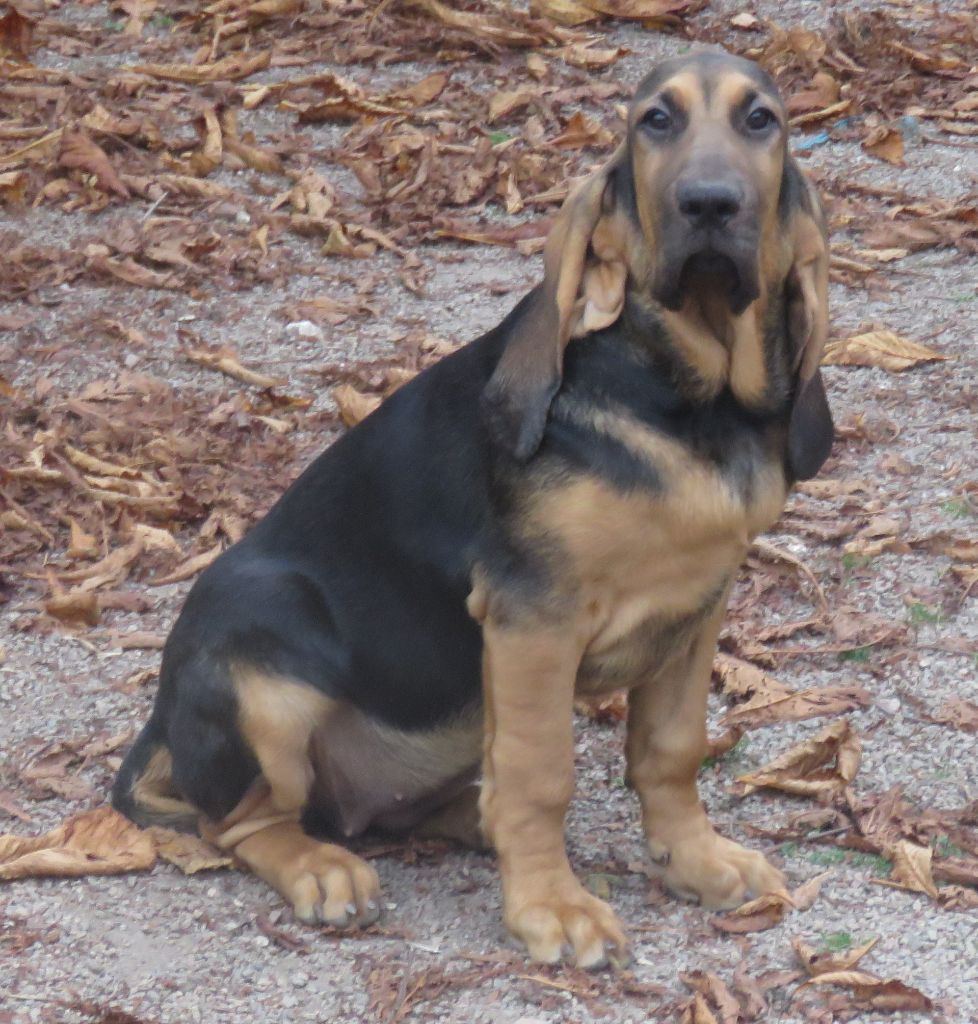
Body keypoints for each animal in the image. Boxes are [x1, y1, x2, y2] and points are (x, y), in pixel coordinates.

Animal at [116, 51, 835, 966]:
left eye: (761, 121)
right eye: (656, 122)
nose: (710, 203)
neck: (691, 402)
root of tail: (163, 716)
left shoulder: (697, 610)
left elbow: (671, 751)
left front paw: (698, 860)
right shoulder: (533, 620)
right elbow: (541, 775)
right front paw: (552, 908)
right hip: (263, 663)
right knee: (243, 823)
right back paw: (322, 867)